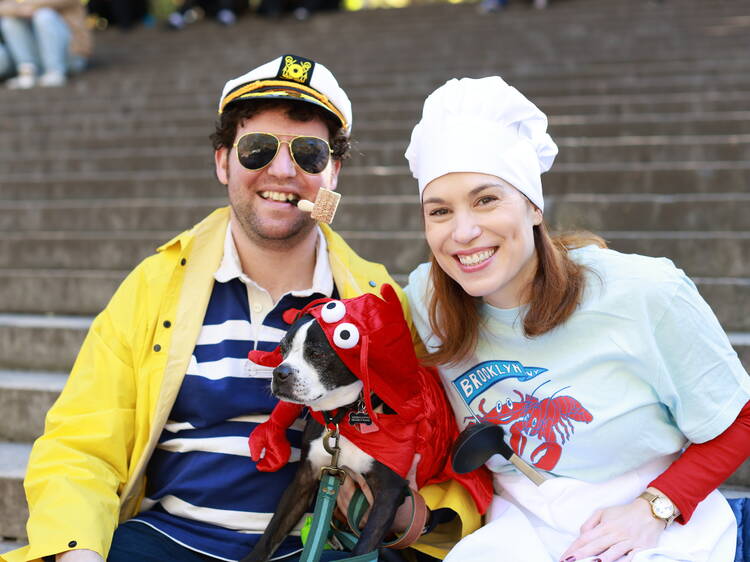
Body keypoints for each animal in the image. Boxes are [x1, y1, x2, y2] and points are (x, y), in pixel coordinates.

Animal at [241, 284, 494, 560]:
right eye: (283, 349)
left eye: (316, 353)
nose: (280, 373)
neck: (345, 417)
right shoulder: (305, 479)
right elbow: (271, 533)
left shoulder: (387, 494)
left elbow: (363, 549)